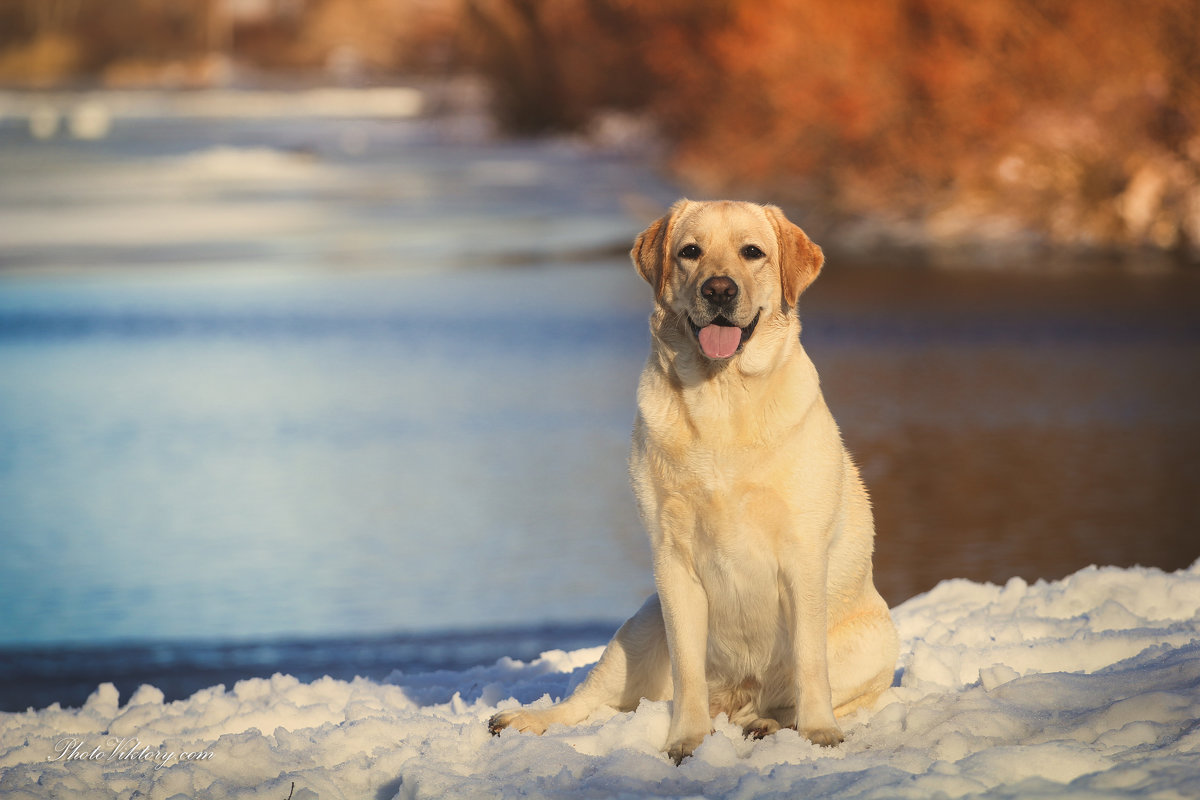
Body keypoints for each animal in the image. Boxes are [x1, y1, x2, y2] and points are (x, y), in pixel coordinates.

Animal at [489, 200, 902, 762]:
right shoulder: (672, 557)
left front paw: (820, 734)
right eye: (690, 251)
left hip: (875, 642)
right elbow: (687, 668)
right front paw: (686, 741)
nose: (719, 290)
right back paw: (522, 720)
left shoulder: (802, 554)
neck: (720, 399)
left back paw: (767, 724)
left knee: (783, 699)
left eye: (752, 251)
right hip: (639, 631)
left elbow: (809, 662)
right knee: (588, 700)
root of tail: (735, 696)